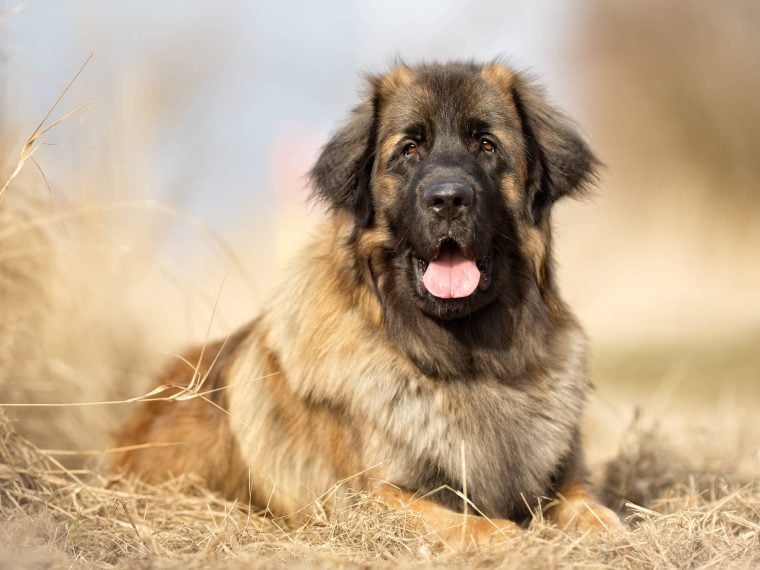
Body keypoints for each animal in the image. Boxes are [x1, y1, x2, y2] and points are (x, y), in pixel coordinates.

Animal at [113, 61, 624, 540]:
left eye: (487, 145)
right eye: (409, 149)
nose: (448, 200)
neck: (466, 360)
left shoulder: (564, 478)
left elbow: (597, 512)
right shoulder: (373, 496)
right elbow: (468, 524)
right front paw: (510, 537)